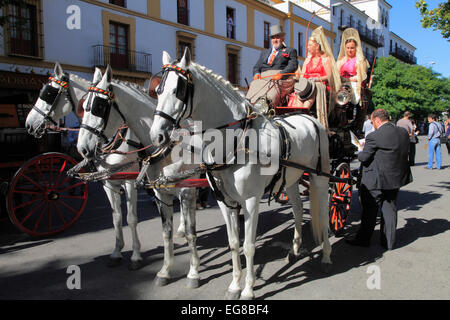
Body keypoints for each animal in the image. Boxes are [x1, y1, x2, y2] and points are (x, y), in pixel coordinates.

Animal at [24, 62, 185, 270]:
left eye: (49, 94)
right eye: (84, 106)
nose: (29, 124)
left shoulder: (130, 181)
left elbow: (131, 218)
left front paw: (136, 255)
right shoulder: (108, 182)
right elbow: (116, 217)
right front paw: (117, 251)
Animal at [77, 65, 200, 288]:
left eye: (98, 106)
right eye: (83, 106)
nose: (82, 148)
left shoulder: (185, 190)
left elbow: (188, 232)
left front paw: (193, 272)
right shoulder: (143, 189)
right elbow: (128, 221)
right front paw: (162, 270)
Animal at [150, 48, 330, 300]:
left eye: (179, 90)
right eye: (158, 90)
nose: (156, 134)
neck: (237, 141)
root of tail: (310, 118)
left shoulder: (251, 201)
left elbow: (248, 246)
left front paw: (248, 289)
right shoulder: (225, 201)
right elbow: (234, 243)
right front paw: (235, 285)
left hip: (320, 178)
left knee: (323, 213)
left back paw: (326, 256)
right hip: (292, 179)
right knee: (296, 209)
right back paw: (295, 248)